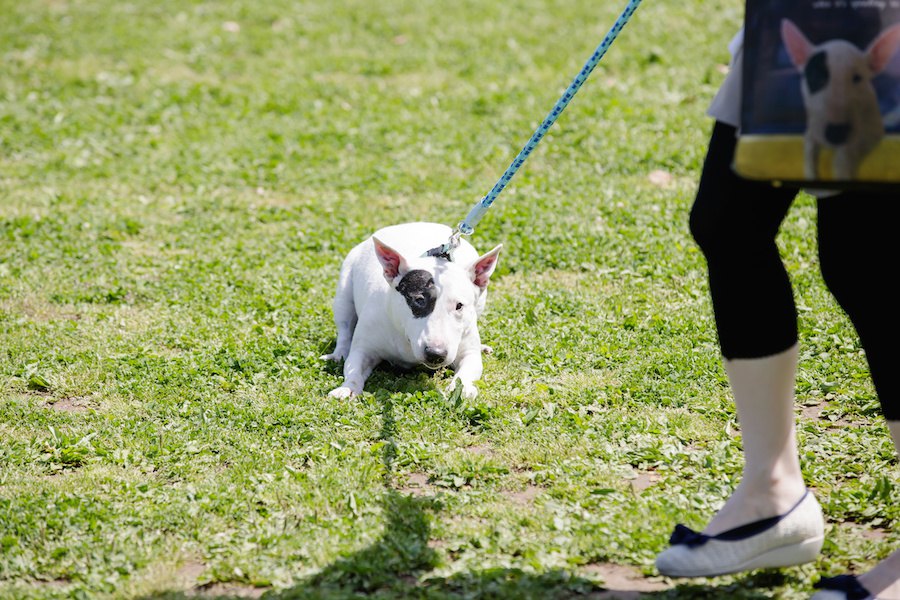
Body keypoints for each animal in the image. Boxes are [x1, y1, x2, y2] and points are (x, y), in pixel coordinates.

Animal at [322, 223, 506, 400]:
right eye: (419, 300)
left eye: (459, 305)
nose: (435, 354)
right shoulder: (364, 348)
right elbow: (353, 367)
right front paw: (347, 388)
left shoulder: (467, 352)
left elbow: (468, 369)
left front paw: (462, 389)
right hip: (344, 294)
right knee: (345, 330)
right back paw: (338, 354)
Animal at [780, 18, 900, 178]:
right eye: (816, 76)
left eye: (857, 78)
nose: (836, 133)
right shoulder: (813, 128)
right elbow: (809, 146)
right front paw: (811, 174)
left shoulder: (873, 132)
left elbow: (851, 147)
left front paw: (842, 167)